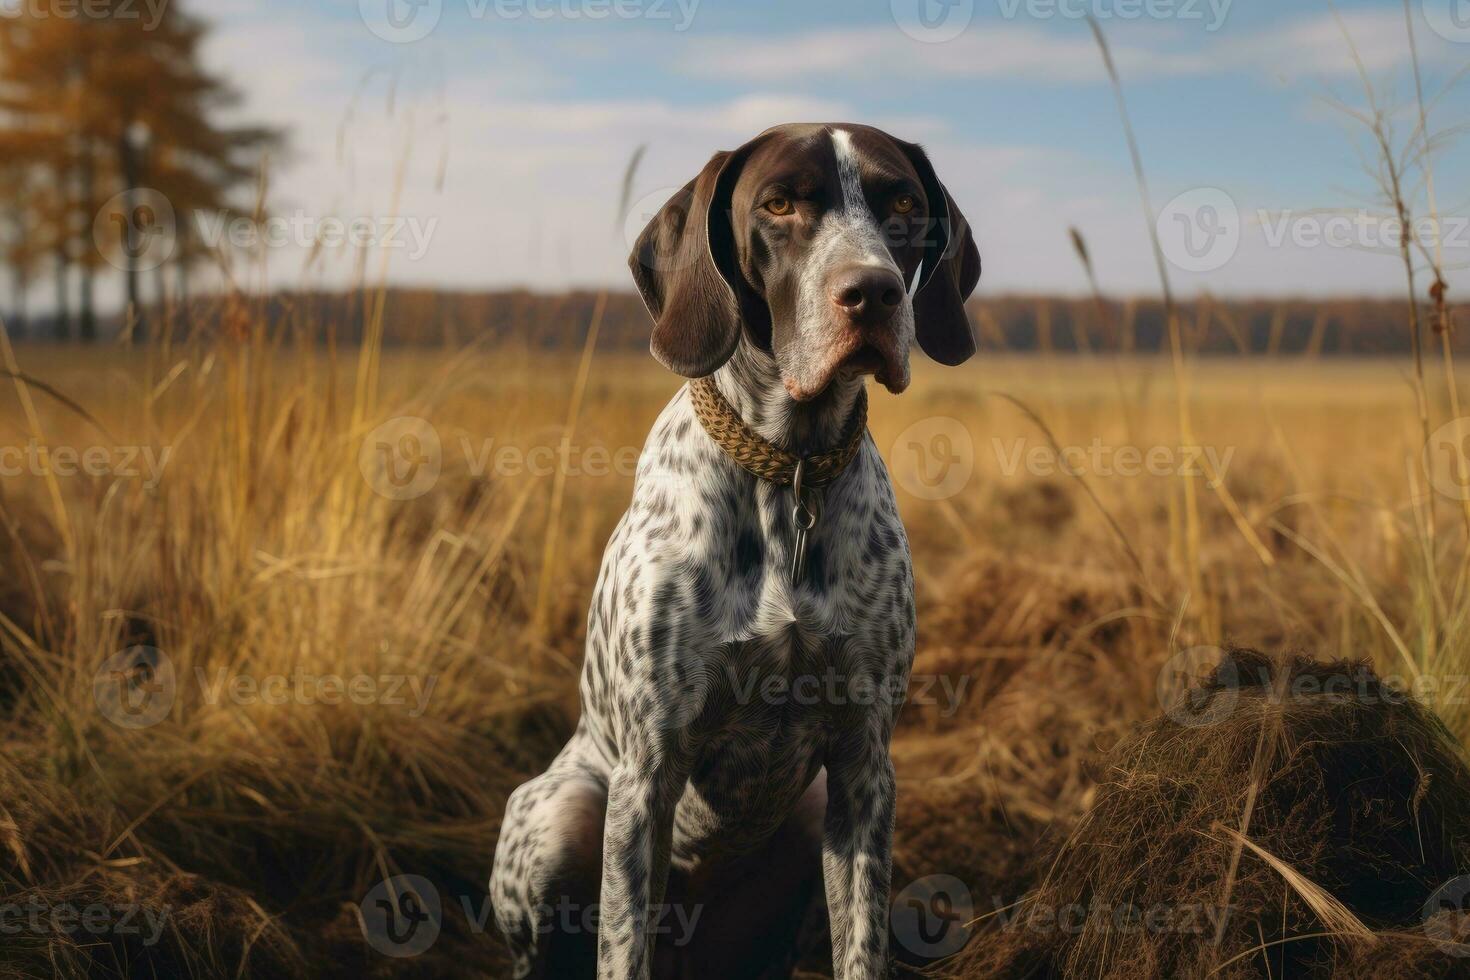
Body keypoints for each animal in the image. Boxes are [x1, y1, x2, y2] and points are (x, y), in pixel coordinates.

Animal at [488, 124, 981, 980]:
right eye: (778, 205)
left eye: (903, 206)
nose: (873, 294)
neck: (789, 470)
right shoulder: (646, 778)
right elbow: (622, 949)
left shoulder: (864, 768)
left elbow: (862, 946)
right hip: (563, 813)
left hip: (808, 814)